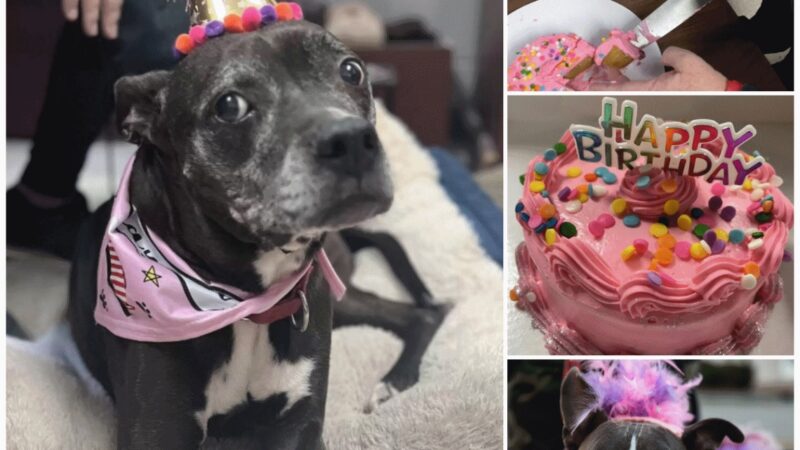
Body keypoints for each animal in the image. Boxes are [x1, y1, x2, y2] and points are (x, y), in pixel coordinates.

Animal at [66, 19, 446, 448]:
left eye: (351, 71)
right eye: (229, 106)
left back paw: (394, 381)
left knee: (421, 313)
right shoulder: (156, 432)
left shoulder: (302, 424)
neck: (246, 304)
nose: (351, 140)